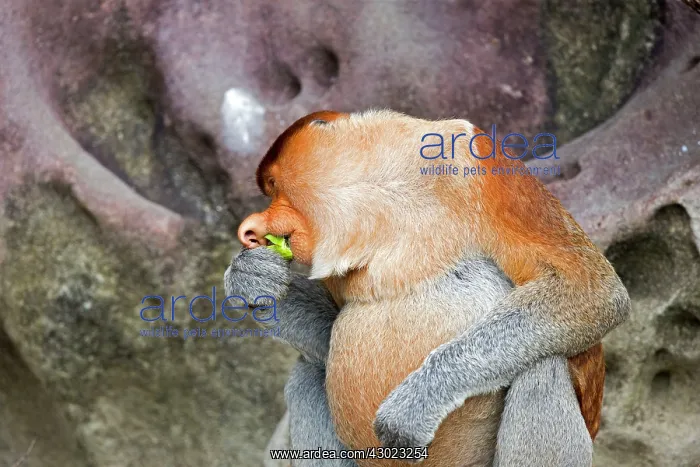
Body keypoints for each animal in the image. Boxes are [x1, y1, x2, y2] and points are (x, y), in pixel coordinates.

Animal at [225, 109, 629, 466]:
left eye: (273, 186)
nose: (250, 230)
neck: (386, 202)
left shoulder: (476, 165)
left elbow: (592, 289)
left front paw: (412, 407)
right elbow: (328, 341)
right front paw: (251, 278)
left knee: (541, 367)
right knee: (308, 372)